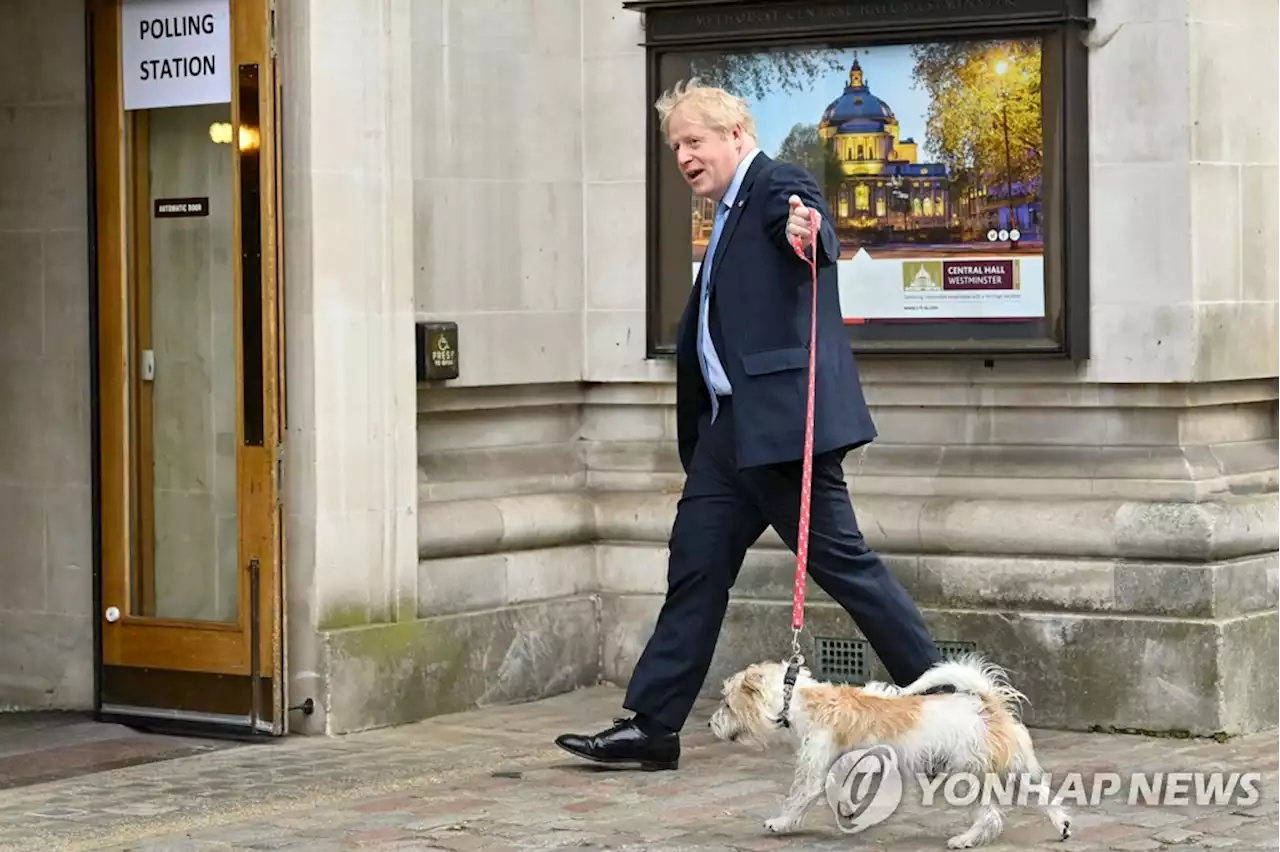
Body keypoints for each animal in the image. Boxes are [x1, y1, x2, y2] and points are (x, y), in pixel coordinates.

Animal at [706, 649, 1075, 844]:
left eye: (727, 704)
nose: (710, 725)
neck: (798, 699)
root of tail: (987, 704)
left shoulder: (814, 767)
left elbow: (799, 798)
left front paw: (780, 823)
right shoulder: (837, 766)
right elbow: (840, 791)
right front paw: (847, 811)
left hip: (967, 775)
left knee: (991, 816)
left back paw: (966, 840)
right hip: (1017, 766)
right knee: (1045, 794)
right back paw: (1062, 825)